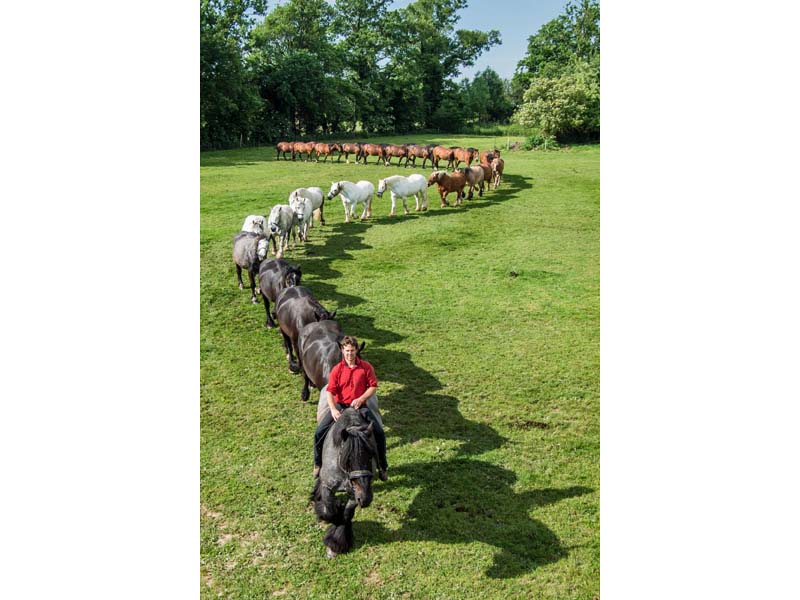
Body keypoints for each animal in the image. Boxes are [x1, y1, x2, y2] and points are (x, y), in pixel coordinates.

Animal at [310, 407, 379, 557]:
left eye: (371, 455)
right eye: (348, 459)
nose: (366, 499)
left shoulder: (355, 493)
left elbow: (347, 514)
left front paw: (336, 542)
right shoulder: (328, 487)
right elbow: (330, 512)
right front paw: (325, 511)